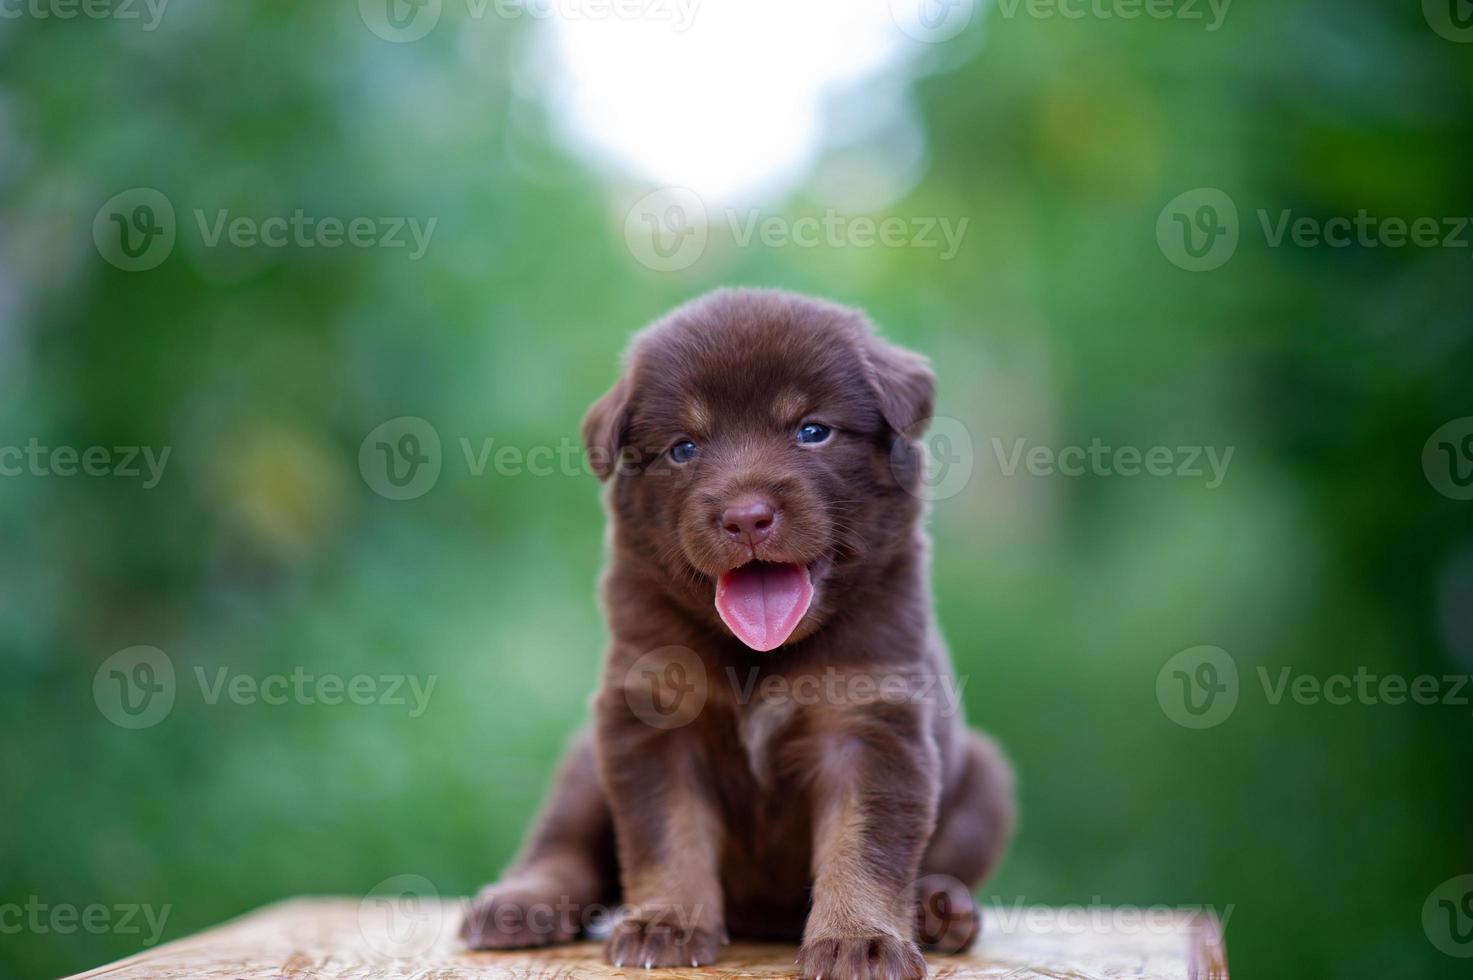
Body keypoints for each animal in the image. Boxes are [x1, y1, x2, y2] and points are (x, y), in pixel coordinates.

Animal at [459, 290, 1013, 978]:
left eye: (812, 430)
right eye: (683, 448)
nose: (747, 517)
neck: (759, 656)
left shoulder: (872, 720)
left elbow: (864, 844)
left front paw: (860, 940)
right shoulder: (650, 716)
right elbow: (667, 832)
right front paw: (666, 923)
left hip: (987, 778)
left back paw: (940, 909)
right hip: (586, 761)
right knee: (562, 844)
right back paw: (521, 904)